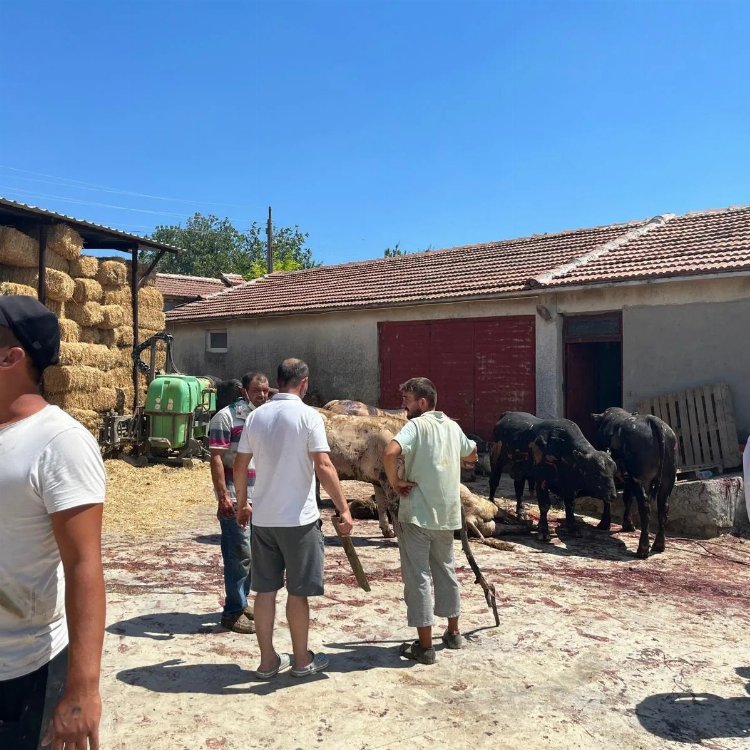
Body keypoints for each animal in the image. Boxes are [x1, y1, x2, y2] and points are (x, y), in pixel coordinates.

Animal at [488, 414, 616, 544]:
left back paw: (521, 512)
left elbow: (570, 506)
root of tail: (507, 414)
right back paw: (492, 504)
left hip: (519, 468)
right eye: (596, 474)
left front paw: (573, 528)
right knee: (494, 482)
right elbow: (545, 505)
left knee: (519, 488)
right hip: (496, 458)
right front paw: (543, 531)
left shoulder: (569, 486)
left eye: (614, 473)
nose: (612, 495)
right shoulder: (542, 480)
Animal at [596, 412, 680, 560]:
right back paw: (659, 545)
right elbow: (627, 498)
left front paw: (604, 523)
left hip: (641, 479)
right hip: (668, 479)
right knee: (663, 508)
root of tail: (653, 420)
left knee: (645, 509)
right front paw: (628, 525)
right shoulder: (628, 478)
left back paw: (642, 549)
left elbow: (610, 499)